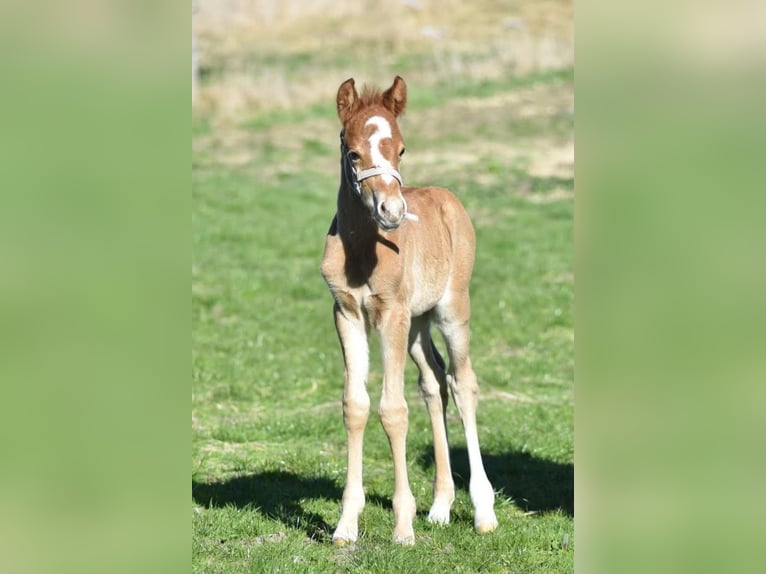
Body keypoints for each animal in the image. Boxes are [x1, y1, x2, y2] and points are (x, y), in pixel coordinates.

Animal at [320, 76, 498, 545]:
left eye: (401, 149)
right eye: (353, 152)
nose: (393, 211)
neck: (362, 252)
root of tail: (447, 197)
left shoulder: (392, 315)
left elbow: (393, 410)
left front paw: (402, 527)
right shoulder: (346, 313)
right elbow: (356, 406)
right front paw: (346, 525)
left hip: (451, 308)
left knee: (463, 383)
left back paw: (483, 511)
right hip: (418, 324)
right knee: (434, 382)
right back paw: (439, 507)